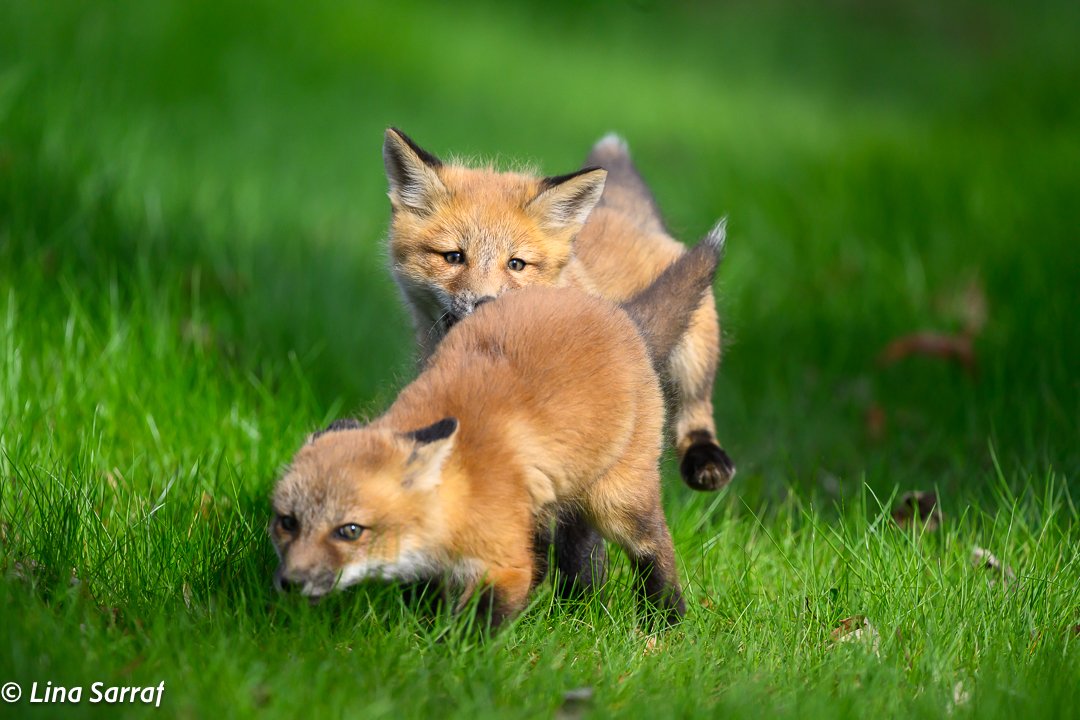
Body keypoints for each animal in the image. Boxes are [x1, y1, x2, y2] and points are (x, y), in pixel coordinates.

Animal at [270, 225, 725, 627]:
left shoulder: (506, 563)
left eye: (349, 530)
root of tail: (617, 312)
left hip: (616, 501)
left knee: (654, 547)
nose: (290, 582)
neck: (462, 482)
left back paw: (663, 620)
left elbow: (470, 631)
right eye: (287, 522)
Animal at [382, 128, 735, 495]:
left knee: (696, 407)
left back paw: (706, 458)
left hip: (693, 352)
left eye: (516, 264)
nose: (487, 303)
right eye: (453, 257)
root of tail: (620, 212)